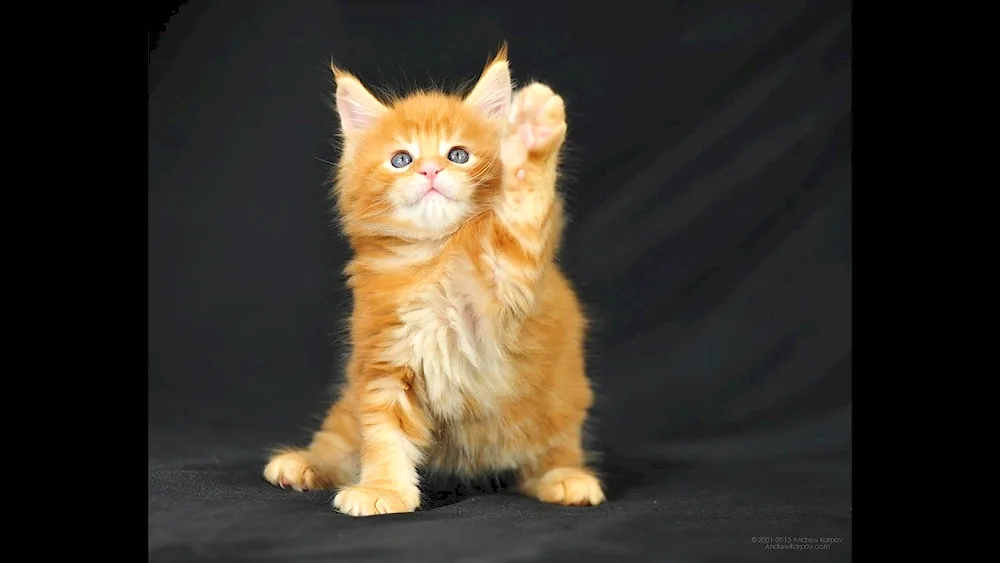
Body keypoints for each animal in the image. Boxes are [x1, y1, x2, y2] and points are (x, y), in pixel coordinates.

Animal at [262, 46, 604, 516]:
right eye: (401, 159)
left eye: (457, 155)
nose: (429, 171)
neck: (432, 259)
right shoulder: (384, 360)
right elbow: (383, 434)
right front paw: (383, 488)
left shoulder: (509, 275)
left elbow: (521, 206)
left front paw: (532, 132)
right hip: (349, 403)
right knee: (341, 440)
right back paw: (303, 464)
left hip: (559, 403)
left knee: (550, 455)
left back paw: (567, 478)